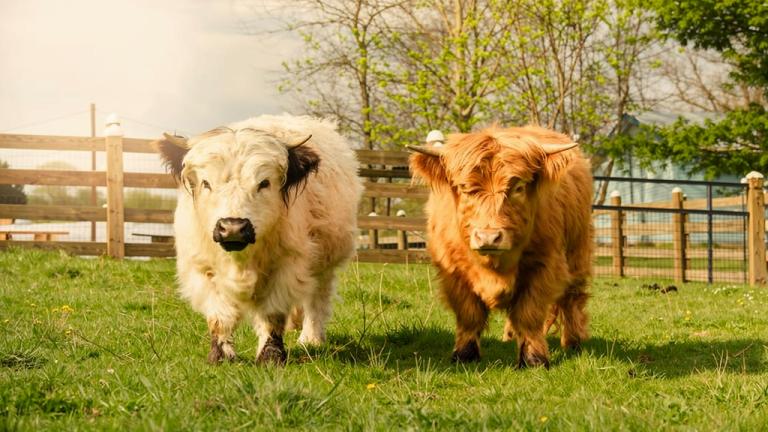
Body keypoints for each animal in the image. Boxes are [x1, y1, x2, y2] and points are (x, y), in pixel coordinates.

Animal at [154, 114, 363, 365]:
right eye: (206, 183)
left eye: (264, 183)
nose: (232, 227)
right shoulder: (203, 270)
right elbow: (219, 317)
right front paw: (220, 356)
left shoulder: (286, 266)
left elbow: (272, 314)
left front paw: (271, 356)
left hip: (325, 263)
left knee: (317, 298)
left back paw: (311, 337)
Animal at [408, 125, 593, 369]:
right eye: (464, 188)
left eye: (519, 187)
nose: (489, 237)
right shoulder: (453, 271)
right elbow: (469, 314)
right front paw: (464, 355)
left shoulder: (544, 265)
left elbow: (529, 314)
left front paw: (534, 358)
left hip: (578, 253)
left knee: (572, 298)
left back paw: (573, 342)